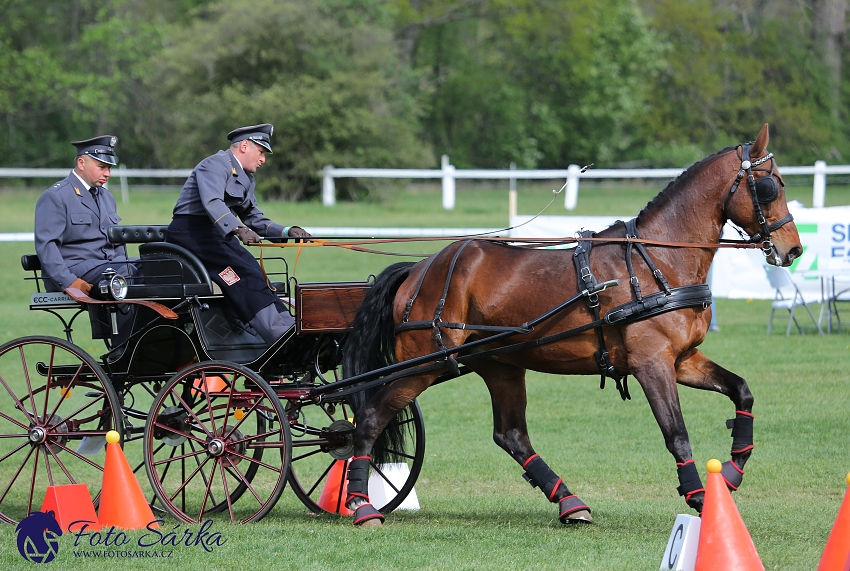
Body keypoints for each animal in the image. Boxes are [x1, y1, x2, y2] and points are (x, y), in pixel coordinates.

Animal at [338, 125, 796, 528]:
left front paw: (733, 470)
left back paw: (570, 503)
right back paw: (362, 505)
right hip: (425, 364)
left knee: (511, 435)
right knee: (372, 416)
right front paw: (700, 496)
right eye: (770, 186)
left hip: (500, 365)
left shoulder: (682, 359)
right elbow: (677, 433)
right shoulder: (651, 363)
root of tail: (420, 268)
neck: (658, 260)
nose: (793, 249)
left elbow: (742, 390)